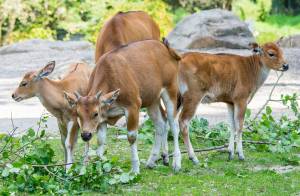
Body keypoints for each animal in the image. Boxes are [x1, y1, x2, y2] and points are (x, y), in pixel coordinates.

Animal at [64, 39, 182, 173]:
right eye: (78, 113)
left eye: (95, 113)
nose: (85, 135)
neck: (112, 77)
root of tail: (167, 49)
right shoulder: (104, 118)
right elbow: (100, 141)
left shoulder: (133, 107)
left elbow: (131, 136)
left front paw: (135, 168)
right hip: (152, 100)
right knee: (161, 124)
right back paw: (154, 160)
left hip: (171, 90)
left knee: (174, 124)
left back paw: (176, 163)